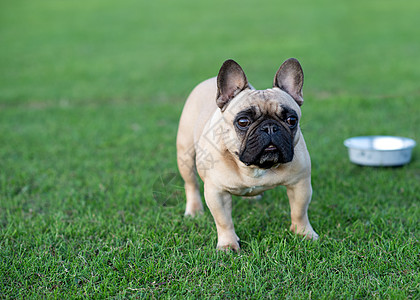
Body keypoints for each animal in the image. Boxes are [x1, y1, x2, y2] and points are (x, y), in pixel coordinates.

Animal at [176, 58, 316, 251]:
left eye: (291, 120)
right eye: (243, 122)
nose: (269, 127)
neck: (254, 167)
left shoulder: (300, 184)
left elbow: (300, 211)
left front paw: (304, 233)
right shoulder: (216, 192)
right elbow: (224, 221)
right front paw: (228, 244)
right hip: (185, 155)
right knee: (191, 184)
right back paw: (194, 210)